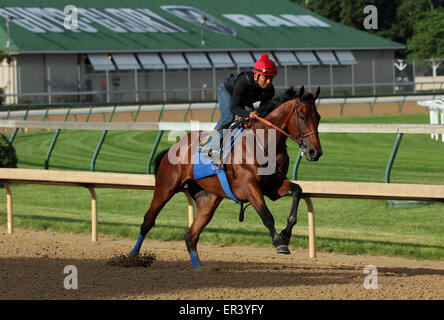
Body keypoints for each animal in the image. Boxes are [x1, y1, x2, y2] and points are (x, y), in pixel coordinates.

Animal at [130, 86, 320, 268]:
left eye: (318, 117)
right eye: (302, 116)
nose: (315, 152)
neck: (265, 144)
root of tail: (174, 146)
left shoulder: (273, 186)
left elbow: (297, 191)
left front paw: (286, 233)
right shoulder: (249, 187)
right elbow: (266, 215)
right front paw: (279, 242)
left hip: (208, 198)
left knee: (191, 235)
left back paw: (200, 268)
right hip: (165, 188)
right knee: (148, 221)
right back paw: (132, 256)